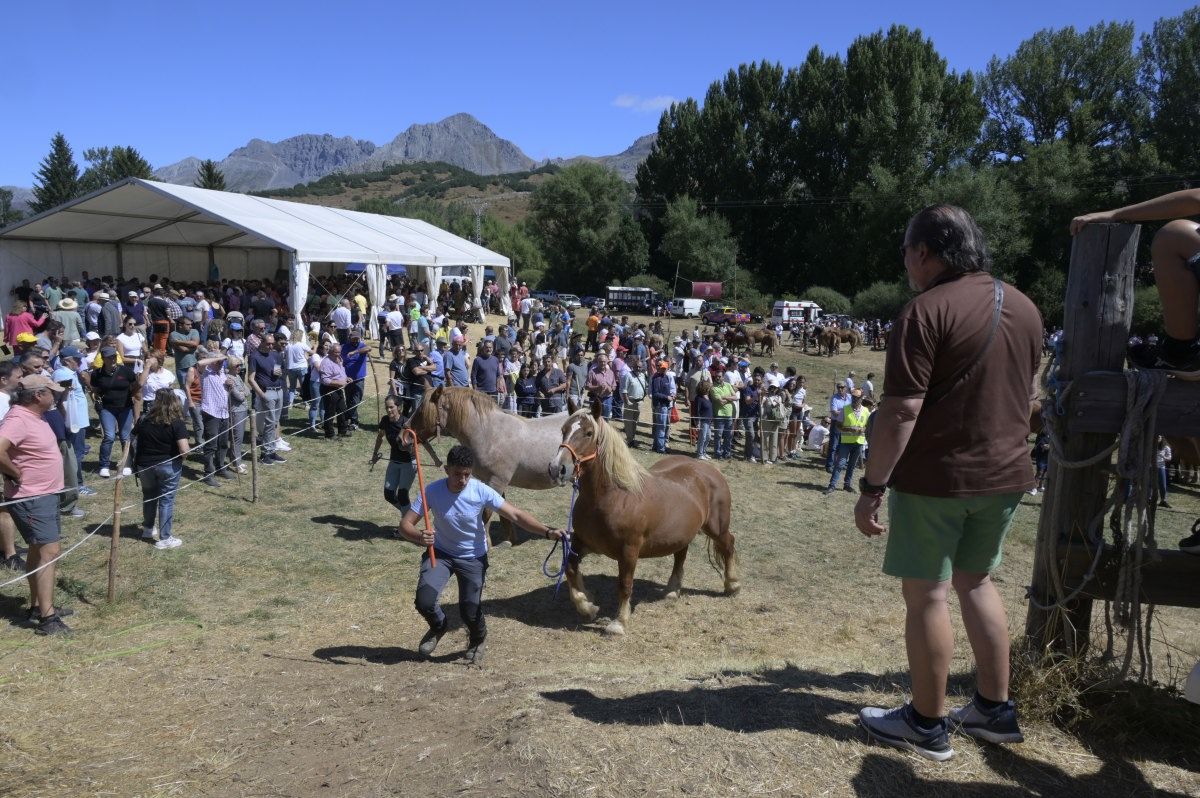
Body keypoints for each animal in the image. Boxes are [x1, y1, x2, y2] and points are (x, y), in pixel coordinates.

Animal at [408, 384, 566, 542]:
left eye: (421, 411)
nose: (404, 435)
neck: (489, 433)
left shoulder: (497, 481)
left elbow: (487, 513)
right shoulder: (490, 481)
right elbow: (502, 510)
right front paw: (509, 539)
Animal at [547, 405, 734, 633]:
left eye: (589, 433)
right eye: (563, 430)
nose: (557, 468)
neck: (612, 496)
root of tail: (709, 470)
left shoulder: (629, 550)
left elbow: (625, 584)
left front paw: (619, 623)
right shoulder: (583, 543)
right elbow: (570, 568)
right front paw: (587, 605)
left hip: (717, 528)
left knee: (728, 545)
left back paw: (732, 585)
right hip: (683, 533)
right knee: (680, 555)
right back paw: (672, 591)